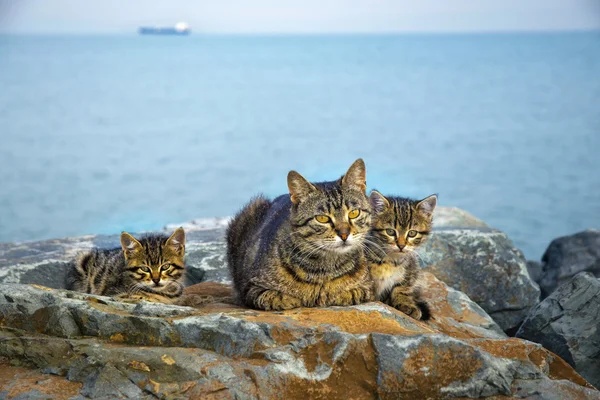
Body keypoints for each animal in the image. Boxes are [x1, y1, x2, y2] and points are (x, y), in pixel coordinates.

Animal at [226, 159, 372, 310]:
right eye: (322, 218)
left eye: (354, 213)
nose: (344, 234)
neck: (324, 269)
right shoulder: (251, 288)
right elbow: (273, 296)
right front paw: (289, 299)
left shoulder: (366, 287)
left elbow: (353, 292)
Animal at [366, 192, 436, 320]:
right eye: (390, 232)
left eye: (412, 233)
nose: (401, 245)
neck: (390, 260)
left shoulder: (411, 267)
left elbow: (402, 288)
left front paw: (406, 303)